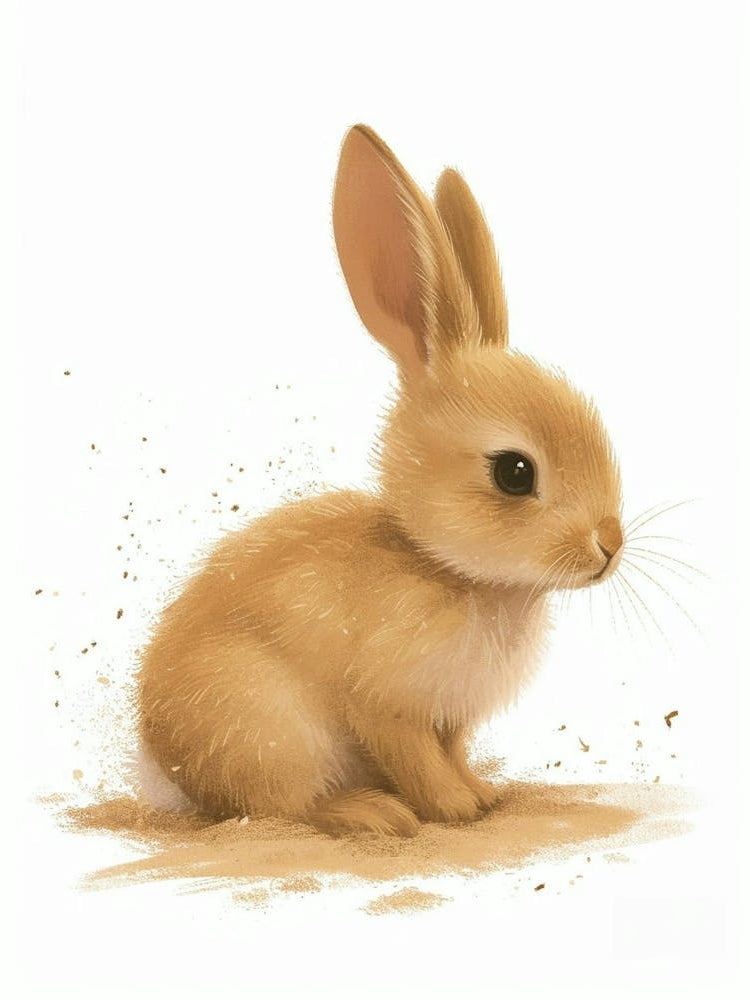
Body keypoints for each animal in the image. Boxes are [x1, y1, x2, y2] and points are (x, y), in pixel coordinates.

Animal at [137, 124, 624, 837]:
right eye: (514, 473)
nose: (610, 546)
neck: (447, 569)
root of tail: (164, 760)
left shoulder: (451, 719)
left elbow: (453, 753)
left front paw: (481, 795)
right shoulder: (386, 705)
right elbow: (416, 760)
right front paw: (452, 809)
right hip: (267, 728)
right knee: (280, 806)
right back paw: (369, 813)